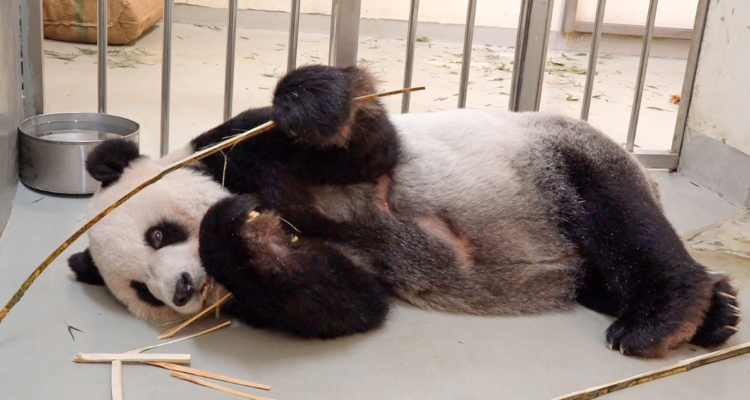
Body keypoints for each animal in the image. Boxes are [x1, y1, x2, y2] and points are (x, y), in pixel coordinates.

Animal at [68, 65, 740, 358]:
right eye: (143, 293)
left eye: (159, 234)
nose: (182, 289)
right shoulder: (278, 290)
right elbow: (344, 300)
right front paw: (245, 236)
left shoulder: (240, 149)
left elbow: (366, 147)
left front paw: (309, 103)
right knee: (603, 267)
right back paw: (717, 312)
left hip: (556, 159)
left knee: (620, 219)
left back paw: (665, 315)